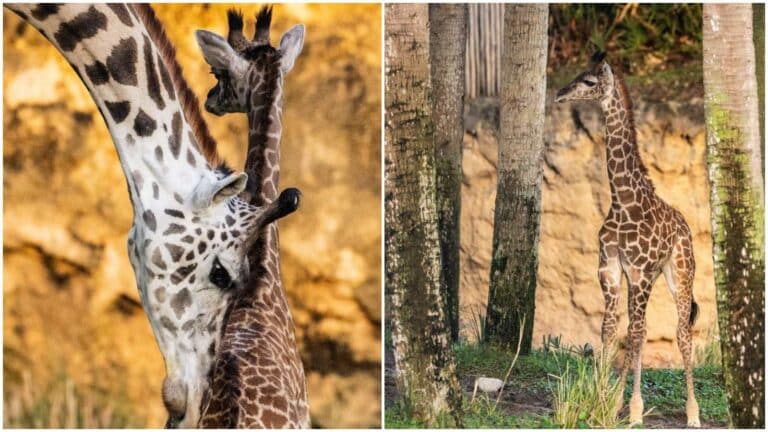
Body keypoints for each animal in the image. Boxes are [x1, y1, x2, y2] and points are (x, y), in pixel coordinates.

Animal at [555, 52, 700, 428]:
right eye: (578, 74)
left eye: (590, 81)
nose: (560, 93)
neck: (622, 201)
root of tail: (686, 225)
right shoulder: (609, 269)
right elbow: (610, 330)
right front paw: (602, 401)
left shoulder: (639, 272)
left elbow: (633, 334)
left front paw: (629, 408)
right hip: (653, 277)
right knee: (644, 329)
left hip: (680, 273)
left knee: (681, 332)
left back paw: (693, 413)